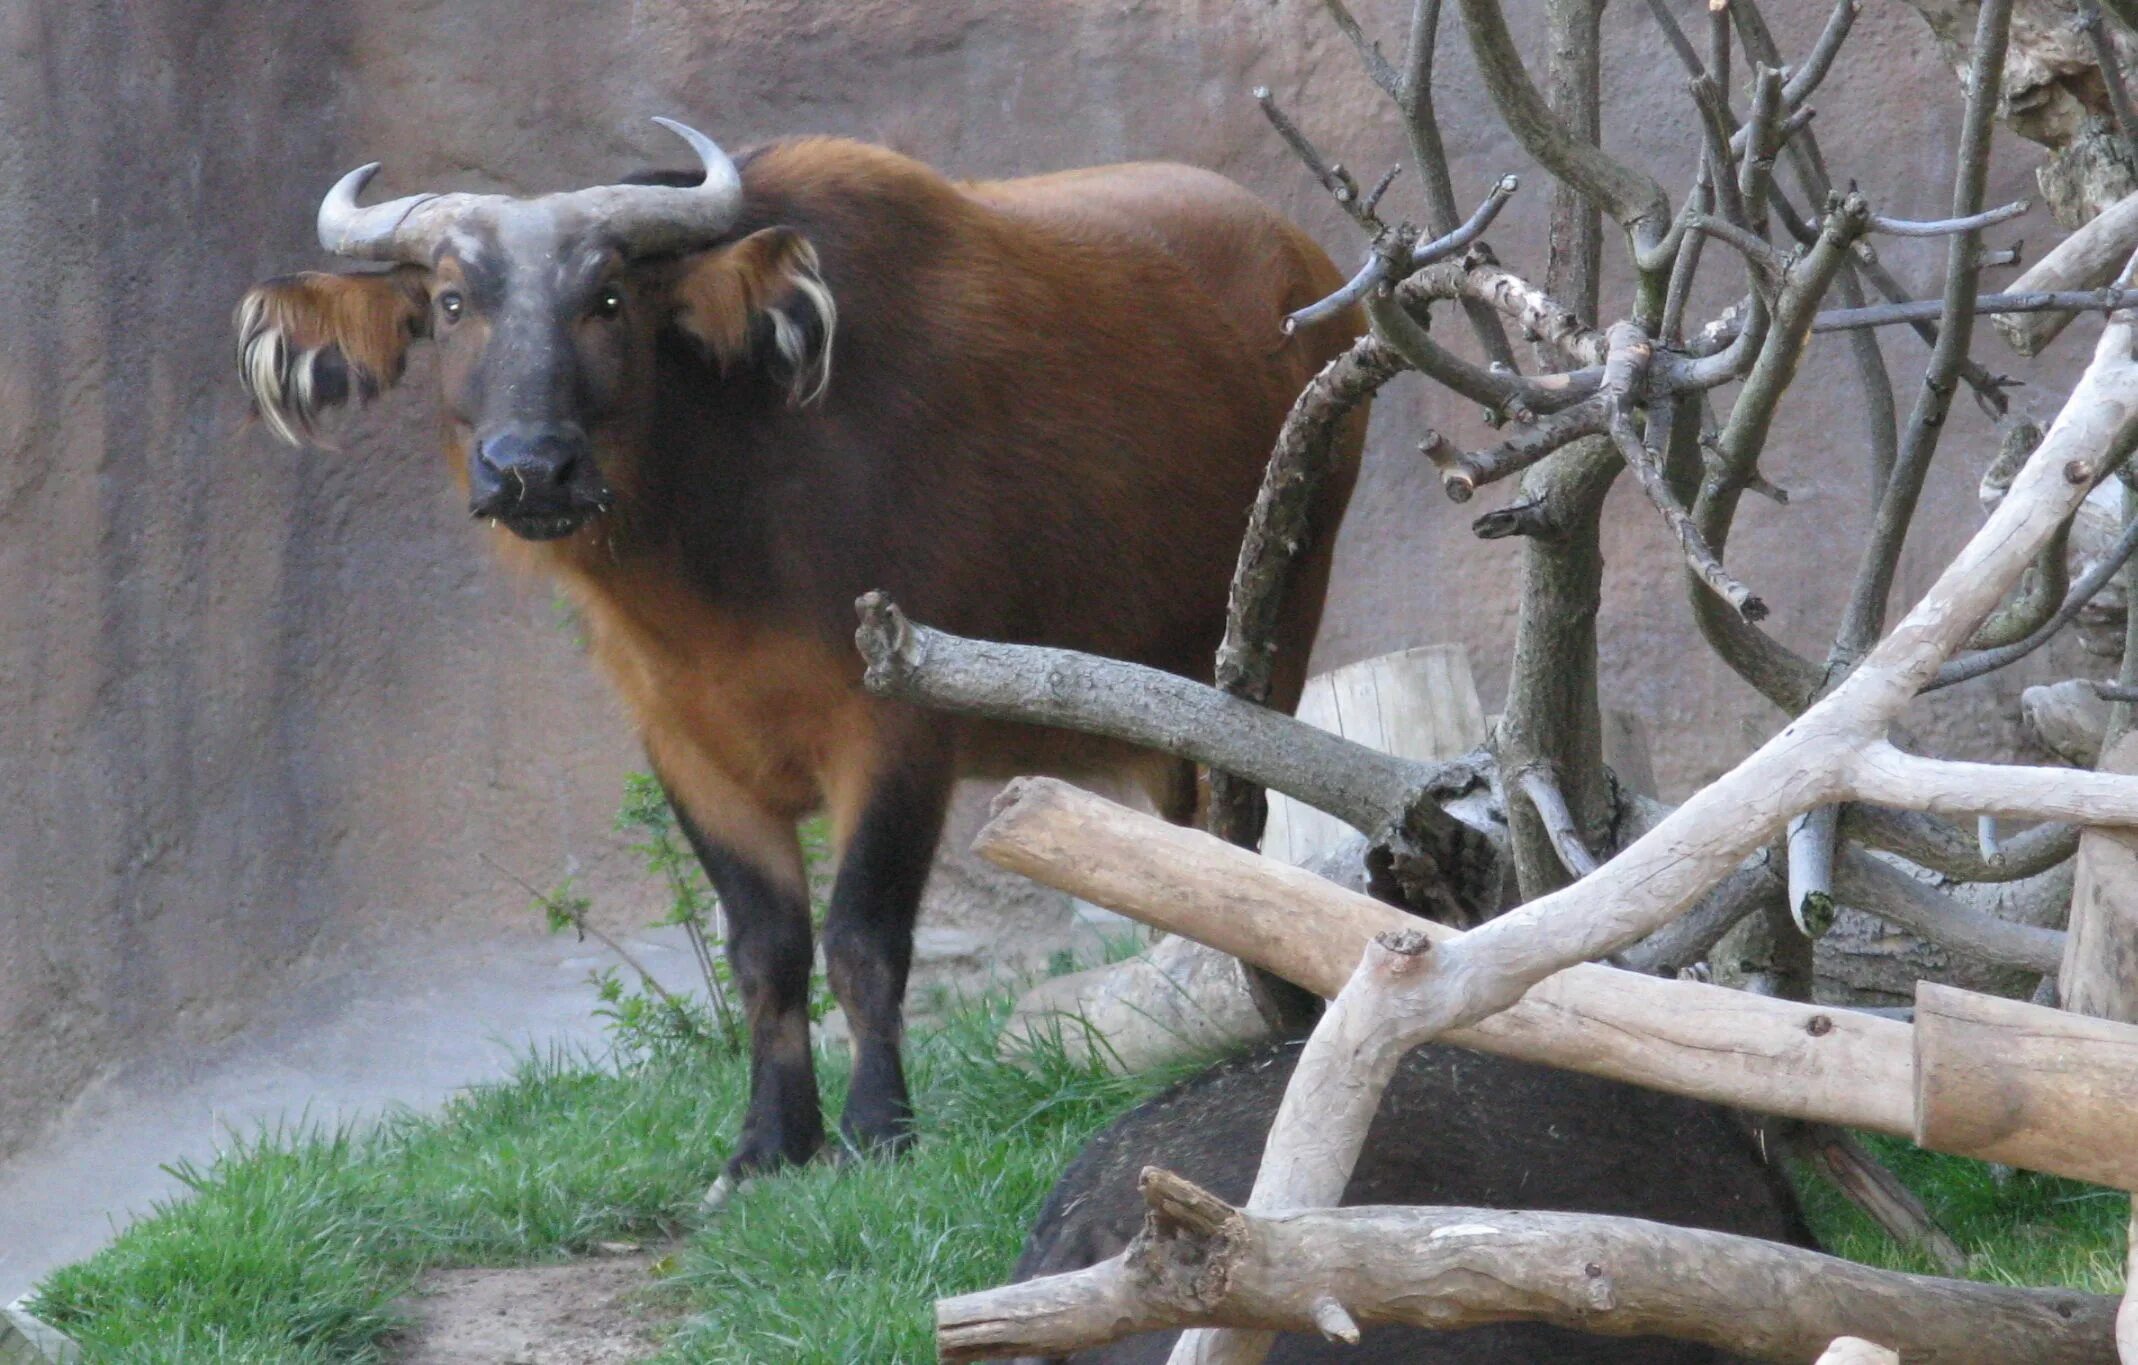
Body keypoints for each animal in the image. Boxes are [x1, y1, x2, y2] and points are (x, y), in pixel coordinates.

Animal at [238, 117, 1368, 1189]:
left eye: (608, 297)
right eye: (451, 300)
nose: (531, 468)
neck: (723, 543)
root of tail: (1311, 269)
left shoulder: (897, 722)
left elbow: (862, 936)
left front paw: (876, 1129)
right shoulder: (684, 747)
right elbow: (763, 951)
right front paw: (766, 1144)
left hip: (1265, 642)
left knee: (1240, 836)